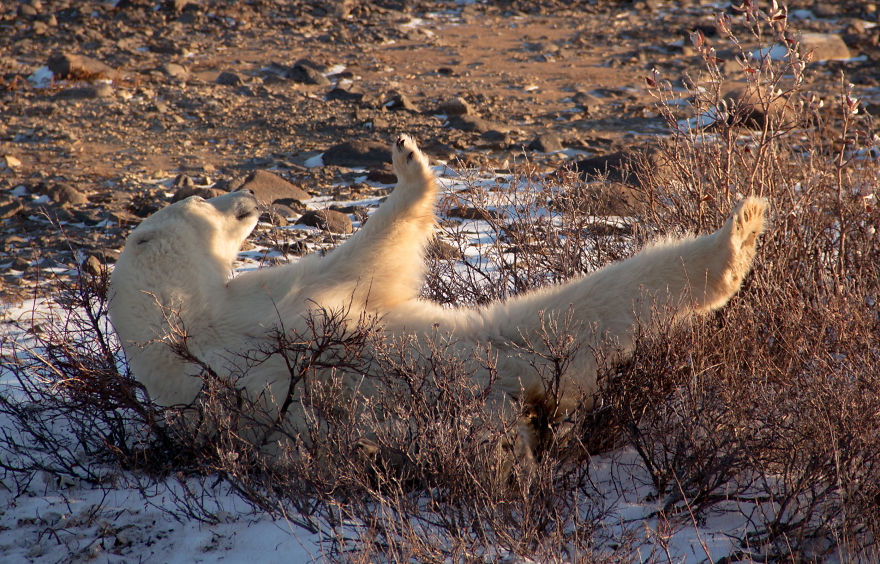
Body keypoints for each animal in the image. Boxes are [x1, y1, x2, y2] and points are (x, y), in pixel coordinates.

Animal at [109, 134, 767, 451]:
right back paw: (740, 233)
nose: (247, 195)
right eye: (203, 200)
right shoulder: (255, 303)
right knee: (601, 302)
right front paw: (410, 164)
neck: (181, 331)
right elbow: (364, 261)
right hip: (522, 345)